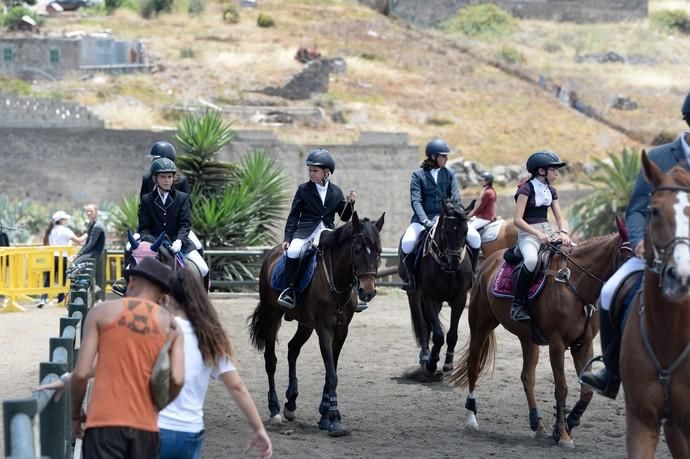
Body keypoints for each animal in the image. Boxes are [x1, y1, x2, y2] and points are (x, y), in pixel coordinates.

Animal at [250, 212, 384, 438]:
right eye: (357, 250)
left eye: (379, 251)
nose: (368, 292)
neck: (337, 281)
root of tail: (272, 253)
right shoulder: (324, 330)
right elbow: (332, 374)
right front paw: (335, 419)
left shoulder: (341, 331)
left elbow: (332, 371)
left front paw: (325, 415)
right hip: (272, 316)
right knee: (271, 361)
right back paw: (275, 409)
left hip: (305, 325)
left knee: (292, 349)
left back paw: (291, 403)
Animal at [404, 199, 472, 376]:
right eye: (446, 231)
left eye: (466, 231)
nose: (454, 263)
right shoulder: (429, 298)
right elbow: (438, 335)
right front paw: (432, 362)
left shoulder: (460, 298)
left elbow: (452, 334)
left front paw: (448, 363)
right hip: (415, 296)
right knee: (422, 326)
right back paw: (425, 356)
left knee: (428, 327)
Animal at [448, 226, 632, 450]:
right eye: (628, 254)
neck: (575, 283)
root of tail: (488, 262)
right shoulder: (557, 344)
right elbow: (561, 388)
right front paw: (563, 434)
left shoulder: (584, 345)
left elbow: (587, 392)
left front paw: (568, 424)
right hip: (480, 327)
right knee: (474, 367)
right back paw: (471, 419)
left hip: (528, 339)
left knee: (527, 377)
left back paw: (538, 425)